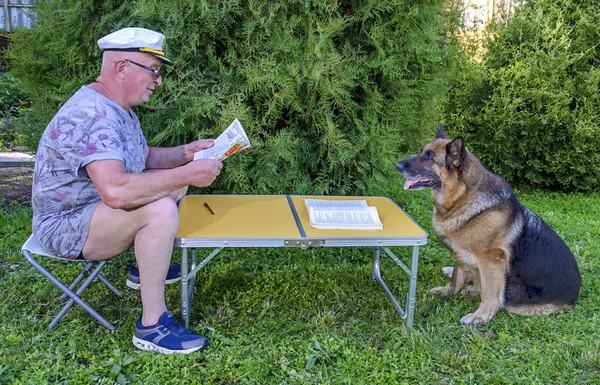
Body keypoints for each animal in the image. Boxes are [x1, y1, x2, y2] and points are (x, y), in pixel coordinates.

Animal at [396, 124, 580, 324]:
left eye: (429, 157)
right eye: (421, 151)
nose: (397, 165)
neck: (463, 196)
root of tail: (575, 296)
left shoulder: (490, 260)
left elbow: (489, 293)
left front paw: (481, 316)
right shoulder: (459, 251)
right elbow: (456, 278)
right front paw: (448, 292)